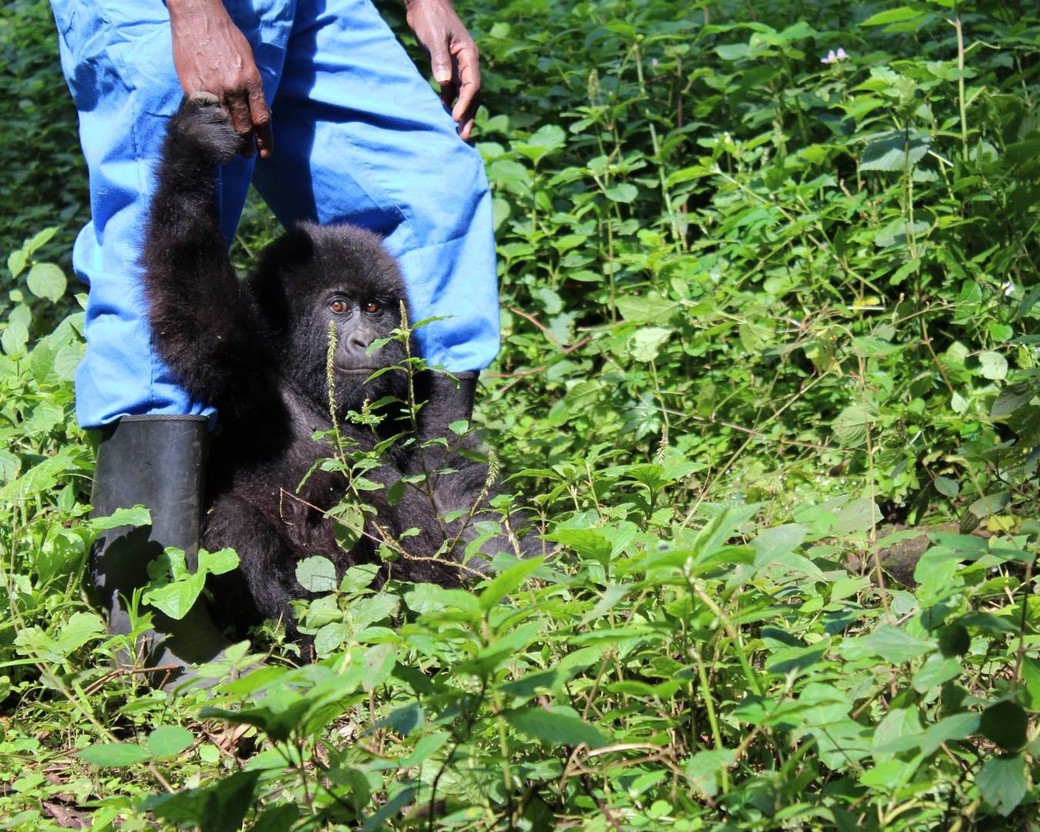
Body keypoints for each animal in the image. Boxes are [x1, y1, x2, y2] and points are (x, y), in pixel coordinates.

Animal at [139, 92, 507, 636]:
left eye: (375, 308)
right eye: (337, 307)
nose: (367, 341)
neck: (301, 384)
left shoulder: (419, 401)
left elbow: (449, 481)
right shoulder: (245, 373)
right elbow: (192, 300)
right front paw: (192, 151)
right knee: (237, 524)